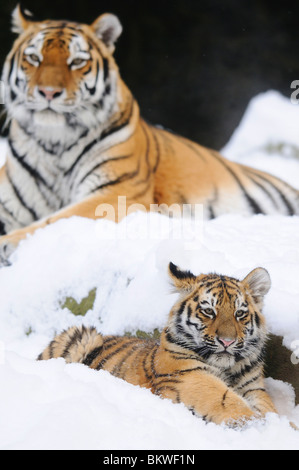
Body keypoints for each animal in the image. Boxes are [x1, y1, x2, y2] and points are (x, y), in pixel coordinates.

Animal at [0, 3, 298, 262]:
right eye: (34, 58)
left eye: (76, 62)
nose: (48, 92)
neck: (54, 142)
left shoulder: (116, 193)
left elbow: (55, 220)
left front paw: (7, 244)